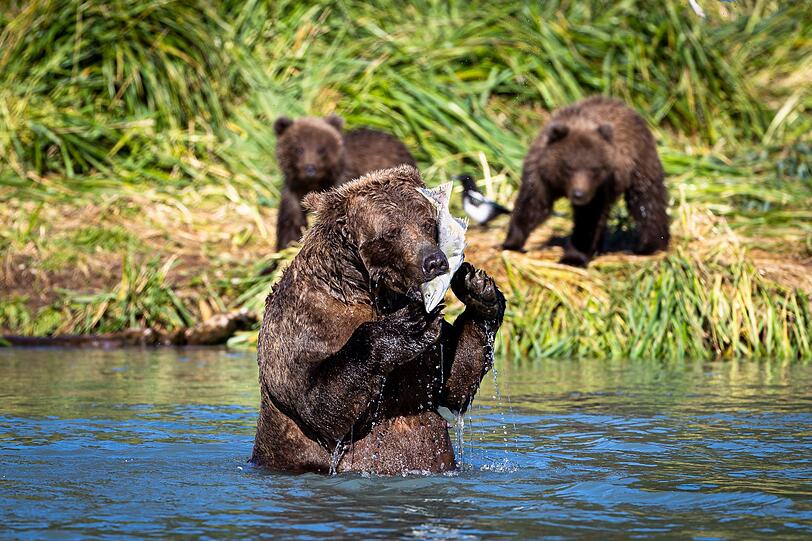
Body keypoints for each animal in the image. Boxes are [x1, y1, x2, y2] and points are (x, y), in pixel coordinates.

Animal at [251, 164, 505, 475]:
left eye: (426, 223)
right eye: (391, 232)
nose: (435, 261)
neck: (368, 290)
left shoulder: (433, 351)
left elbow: (455, 385)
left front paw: (479, 288)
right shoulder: (303, 323)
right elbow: (318, 403)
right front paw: (406, 326)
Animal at [273, 114, 416, 251]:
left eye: (321, 149)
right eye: (298, 149)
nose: (310, 169)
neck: (314, 185)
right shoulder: (293, 193)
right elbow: (290, 223)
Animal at [502, 96, 670, 266]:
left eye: (594, 169)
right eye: (568, 167)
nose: (579, 194)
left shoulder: (599, 188)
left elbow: (589, 219)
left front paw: (573, 257)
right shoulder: (540, 175)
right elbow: (533, 205)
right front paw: (512, 241)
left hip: (640, 161)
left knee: (646, 198)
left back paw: (650, 244)